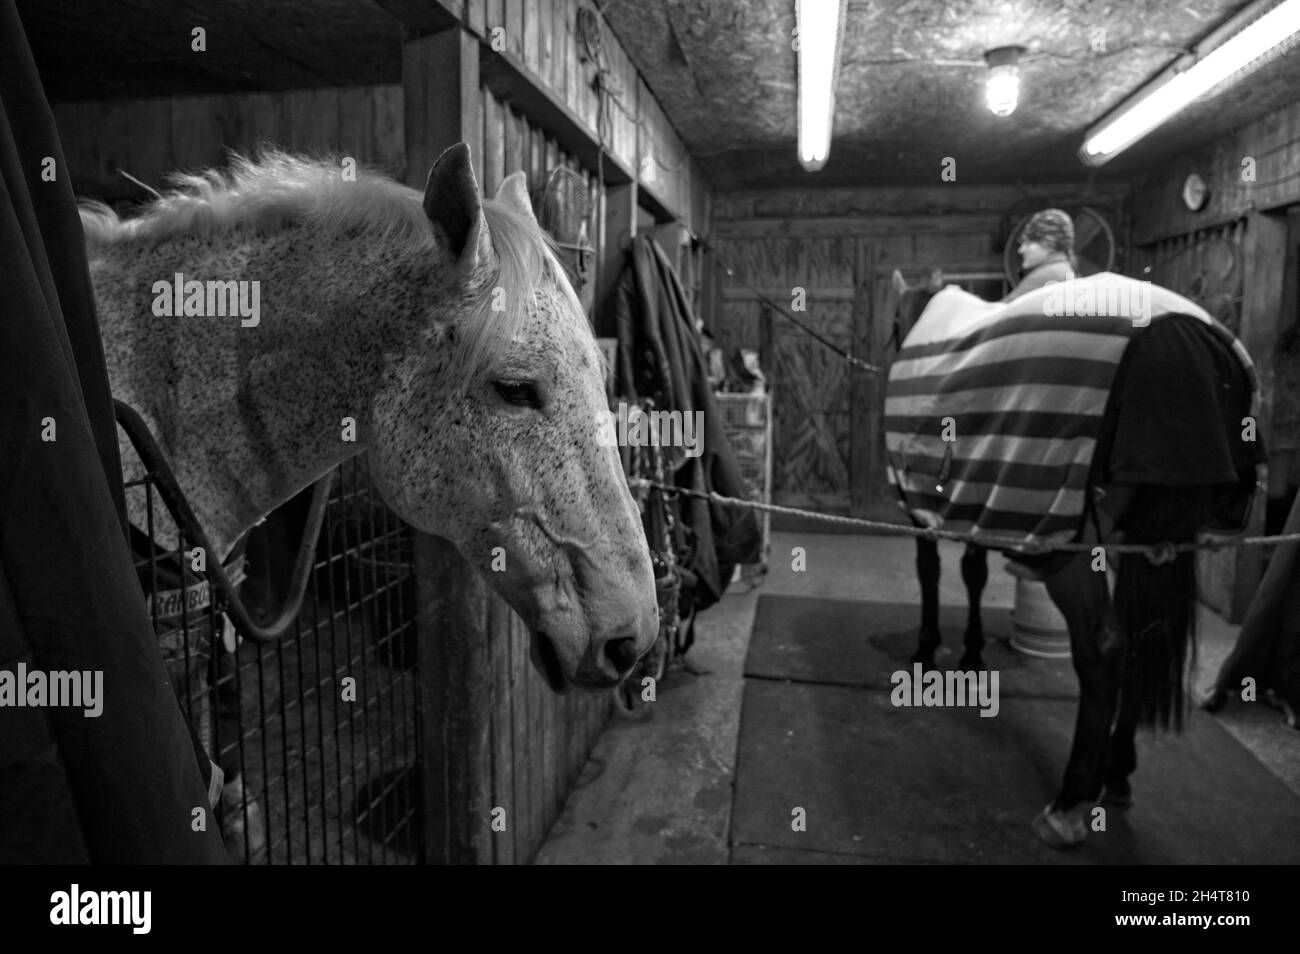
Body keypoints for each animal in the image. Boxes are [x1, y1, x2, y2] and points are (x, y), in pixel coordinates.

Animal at [883, 270, 1258, 852]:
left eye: (892, 324)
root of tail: (1180, 335)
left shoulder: (924, 506)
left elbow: (933, 575)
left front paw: (927, 651)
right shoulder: (980, 503)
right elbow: (973, 575)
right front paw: (970, 654)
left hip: (1073, 549)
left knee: (1104, 648)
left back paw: (1068, 804)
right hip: (1142, 541)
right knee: (1139, 640)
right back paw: (1117, 773)